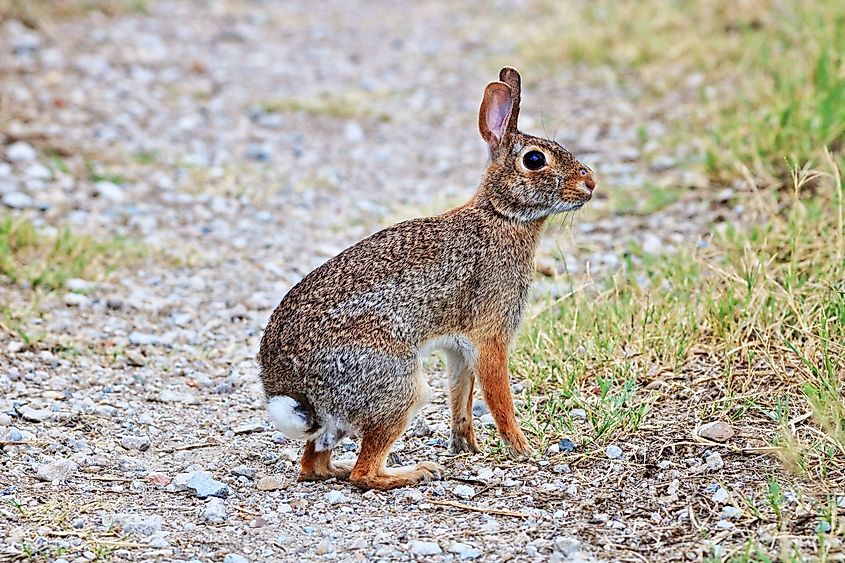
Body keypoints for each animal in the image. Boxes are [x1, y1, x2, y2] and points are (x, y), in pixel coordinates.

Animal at [258, 67, 596, 490]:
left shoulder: (459, 349)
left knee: (313, 463)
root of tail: (290, 389)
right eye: (535, 159)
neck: (501, 214)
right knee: (364, 473)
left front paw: (468, 447)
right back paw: (415, 472)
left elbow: (462, 398)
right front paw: (523, 449)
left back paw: (338, 468)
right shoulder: (491, 337)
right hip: (401, 386)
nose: (590, 183)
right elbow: (498, 397)